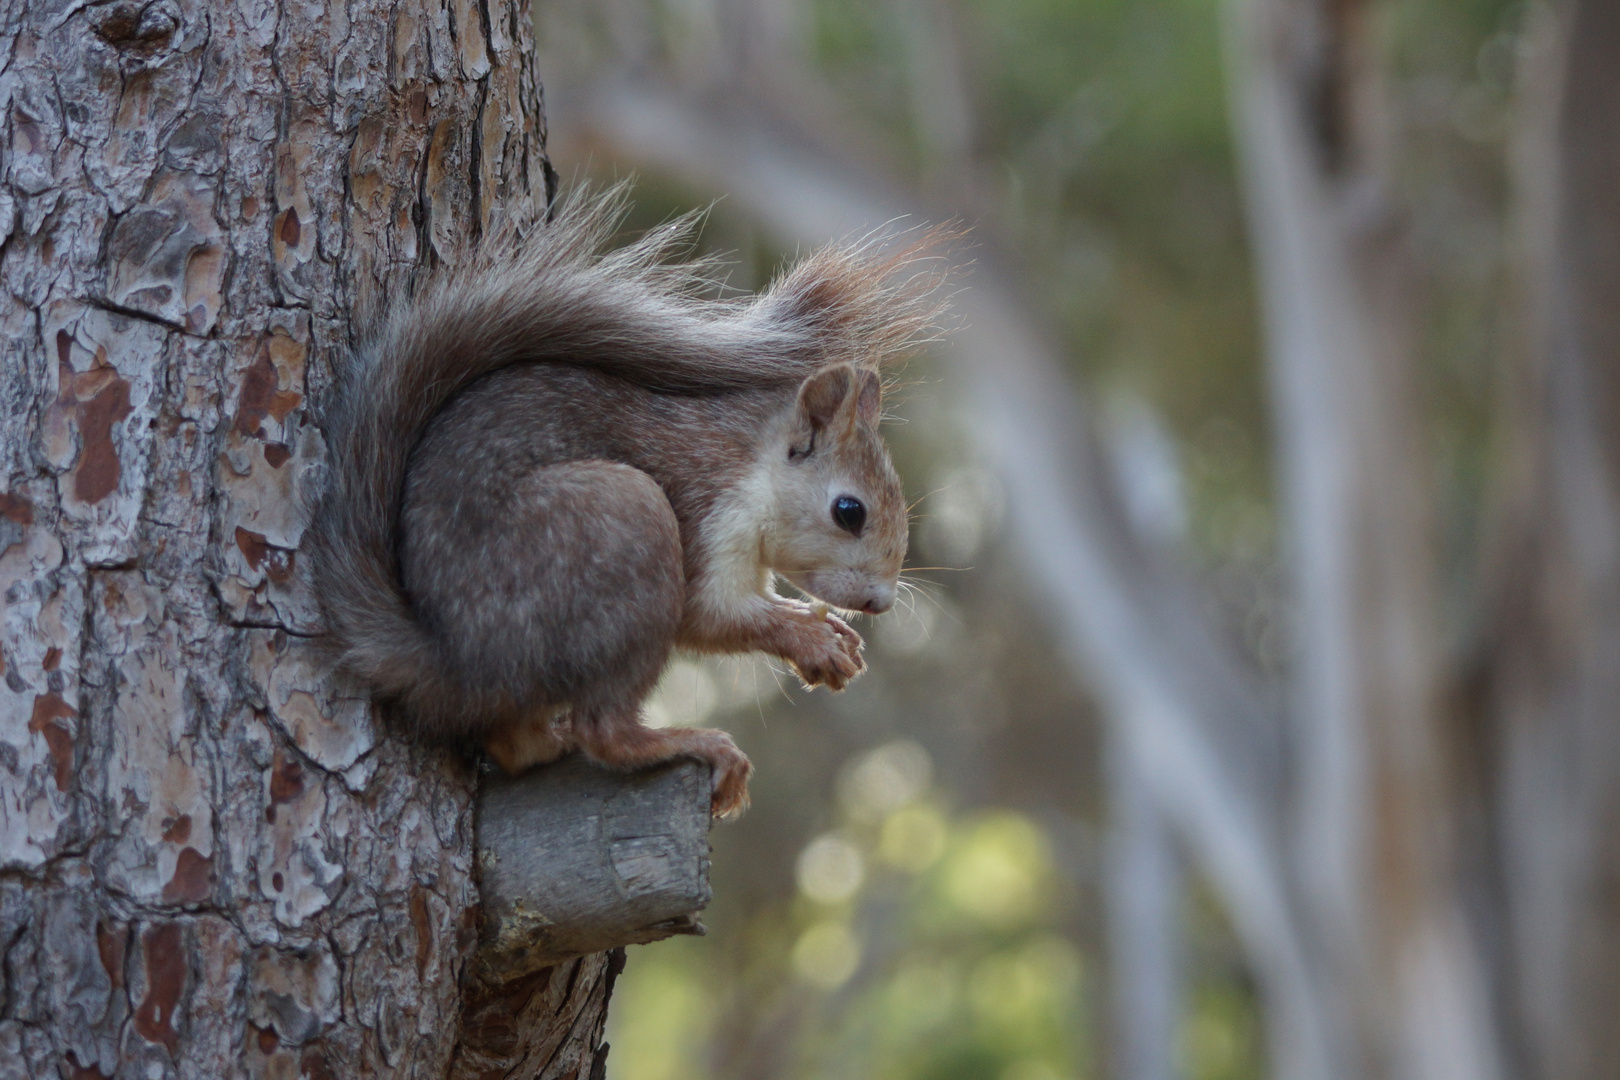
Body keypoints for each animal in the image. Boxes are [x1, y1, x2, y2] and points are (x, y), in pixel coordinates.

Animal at [304, 190, 946, 816]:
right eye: (849, 511)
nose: (880, 603)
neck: (753, 466)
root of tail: (455, 658)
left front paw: (825, 630)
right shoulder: (707, 511)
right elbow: (710, 616)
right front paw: (811, 639)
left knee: (516, 746)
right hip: (624, 525)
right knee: (604, 730)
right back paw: (692, 743)